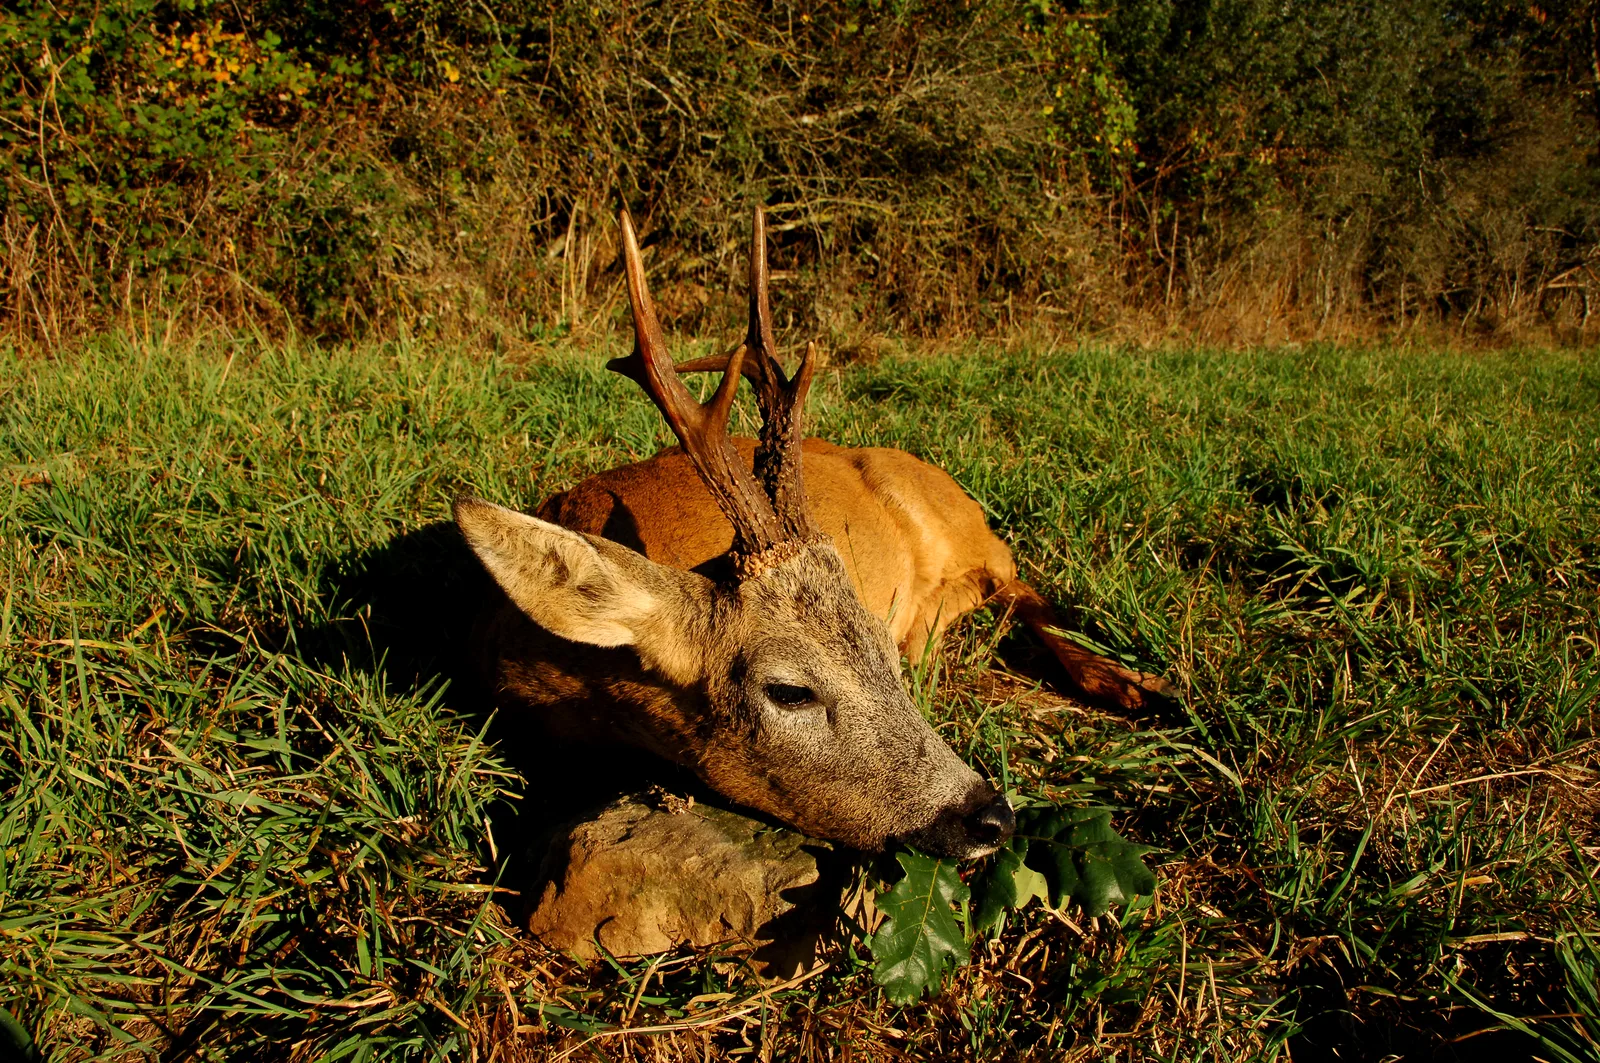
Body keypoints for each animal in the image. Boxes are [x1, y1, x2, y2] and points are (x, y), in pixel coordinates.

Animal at [453, 208, 1171, 860]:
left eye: (879, 655)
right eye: (790, 691)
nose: (991, 816)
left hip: (957, 521)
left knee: (1013, 575)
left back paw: (1127, 682)